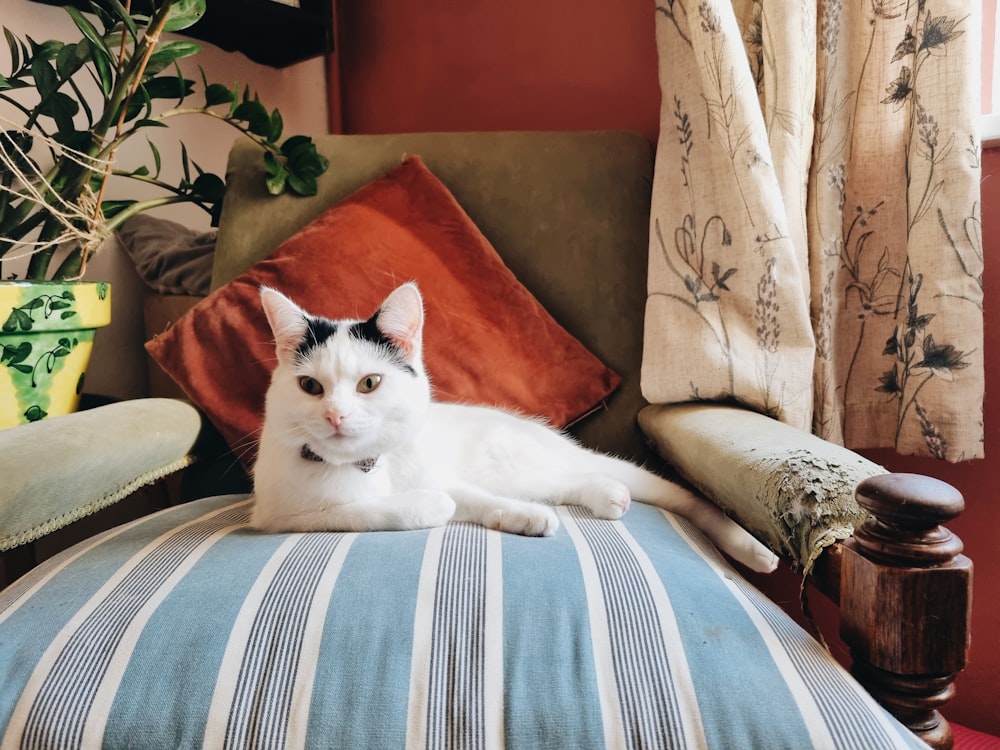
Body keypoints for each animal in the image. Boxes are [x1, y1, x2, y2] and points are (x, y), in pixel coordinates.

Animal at [252, 284, 780, 576]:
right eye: (310, 386)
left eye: (369, 383)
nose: (335, 416)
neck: (368, 466)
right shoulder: (282, 519)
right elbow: (376, 509)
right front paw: (462, 510)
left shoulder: (438, 476)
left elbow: (466, 497)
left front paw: (516, 516)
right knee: (564, 484)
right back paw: (606, 497)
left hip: (529, 463)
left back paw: (753, 551)